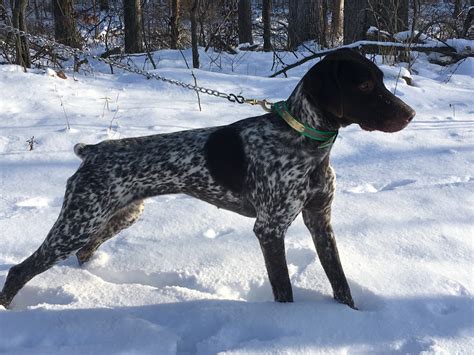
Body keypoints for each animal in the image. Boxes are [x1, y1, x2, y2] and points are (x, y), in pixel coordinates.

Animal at [0, 48, 414, 310]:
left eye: (380, 80)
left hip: (118, 216)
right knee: (21, 269)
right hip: (79, 222)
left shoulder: (320, 220)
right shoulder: (270, 228)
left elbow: (340, 283)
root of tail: (91, 151)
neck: (307, 144)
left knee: (85, 252)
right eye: (364, 85)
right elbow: (284, 287)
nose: (410, 113)